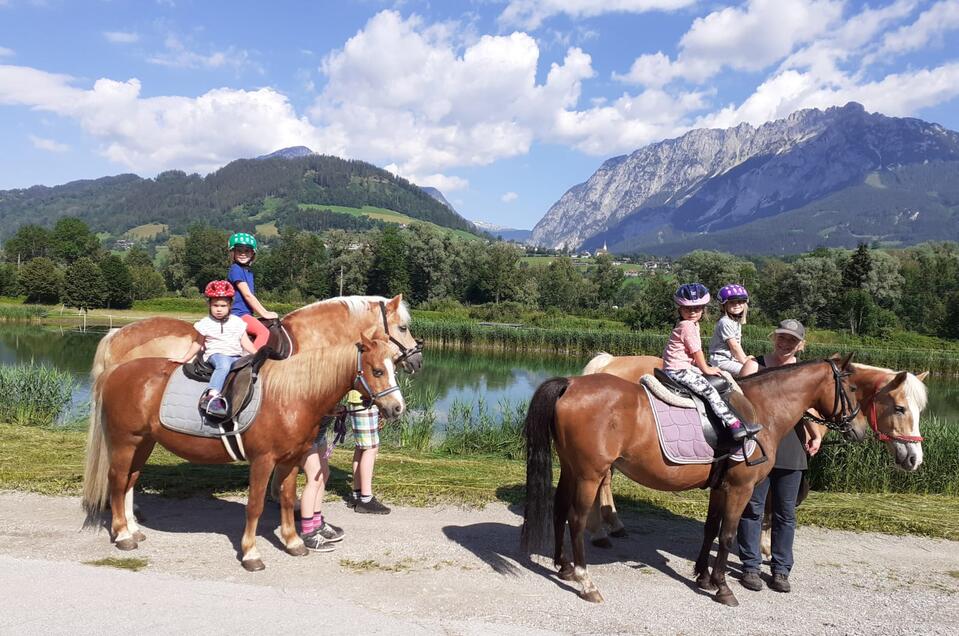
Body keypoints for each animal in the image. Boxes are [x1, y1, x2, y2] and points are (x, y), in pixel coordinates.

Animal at [83, 332, 408, 572]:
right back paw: (122, 534)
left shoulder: (290, 461)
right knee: (117, 481)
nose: (397, 408)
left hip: (143, 443)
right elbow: (255, 506)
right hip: (125, 442)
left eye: (393, 368)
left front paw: (293, 542)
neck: (292, 395)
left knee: (129, 481)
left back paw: (133, 527)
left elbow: (287, 499)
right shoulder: (263, 461)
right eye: (377, 370)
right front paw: (251, 554)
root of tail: (115, 372)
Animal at [520, 352, 868, 608]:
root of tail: (570, 384)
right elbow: (727, 535)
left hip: (571, 468)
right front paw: (723, 588)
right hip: (589, 474)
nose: (860, 429)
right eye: (852, 389)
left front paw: (703, 577)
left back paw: (564, 567)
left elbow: (711, 528)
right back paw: (586, 581)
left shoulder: (720, 487)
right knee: (576, 520)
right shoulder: (740, 489)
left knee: (559, 511)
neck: (761, 408)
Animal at [584, 350, 928, 548]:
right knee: (604, 480)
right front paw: (759, 547)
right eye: (899, 408)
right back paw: (606, 528)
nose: (914, 458)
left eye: (920, 410)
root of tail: (609, 361)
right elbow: (768, 507)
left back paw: (610, 526)